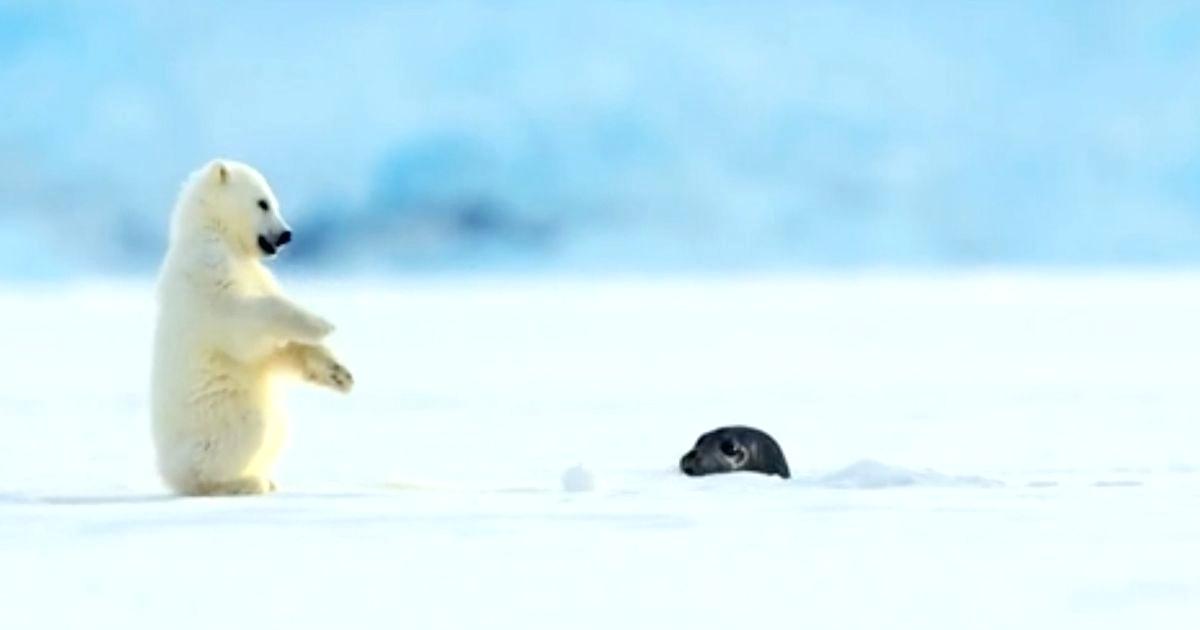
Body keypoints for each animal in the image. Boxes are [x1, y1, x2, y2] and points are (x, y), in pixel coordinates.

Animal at [151, 159, 352, 496]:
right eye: (263, 203)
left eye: (272, 201)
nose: (287, 234)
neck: (215, 234)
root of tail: (168, 472)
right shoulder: (207, 267)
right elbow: (243, 324)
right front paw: (321, 323)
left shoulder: (253, 271)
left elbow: (278, 352)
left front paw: (339, 374)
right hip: (216, 417)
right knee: (249, 429)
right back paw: (245, 482)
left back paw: (267, 478)